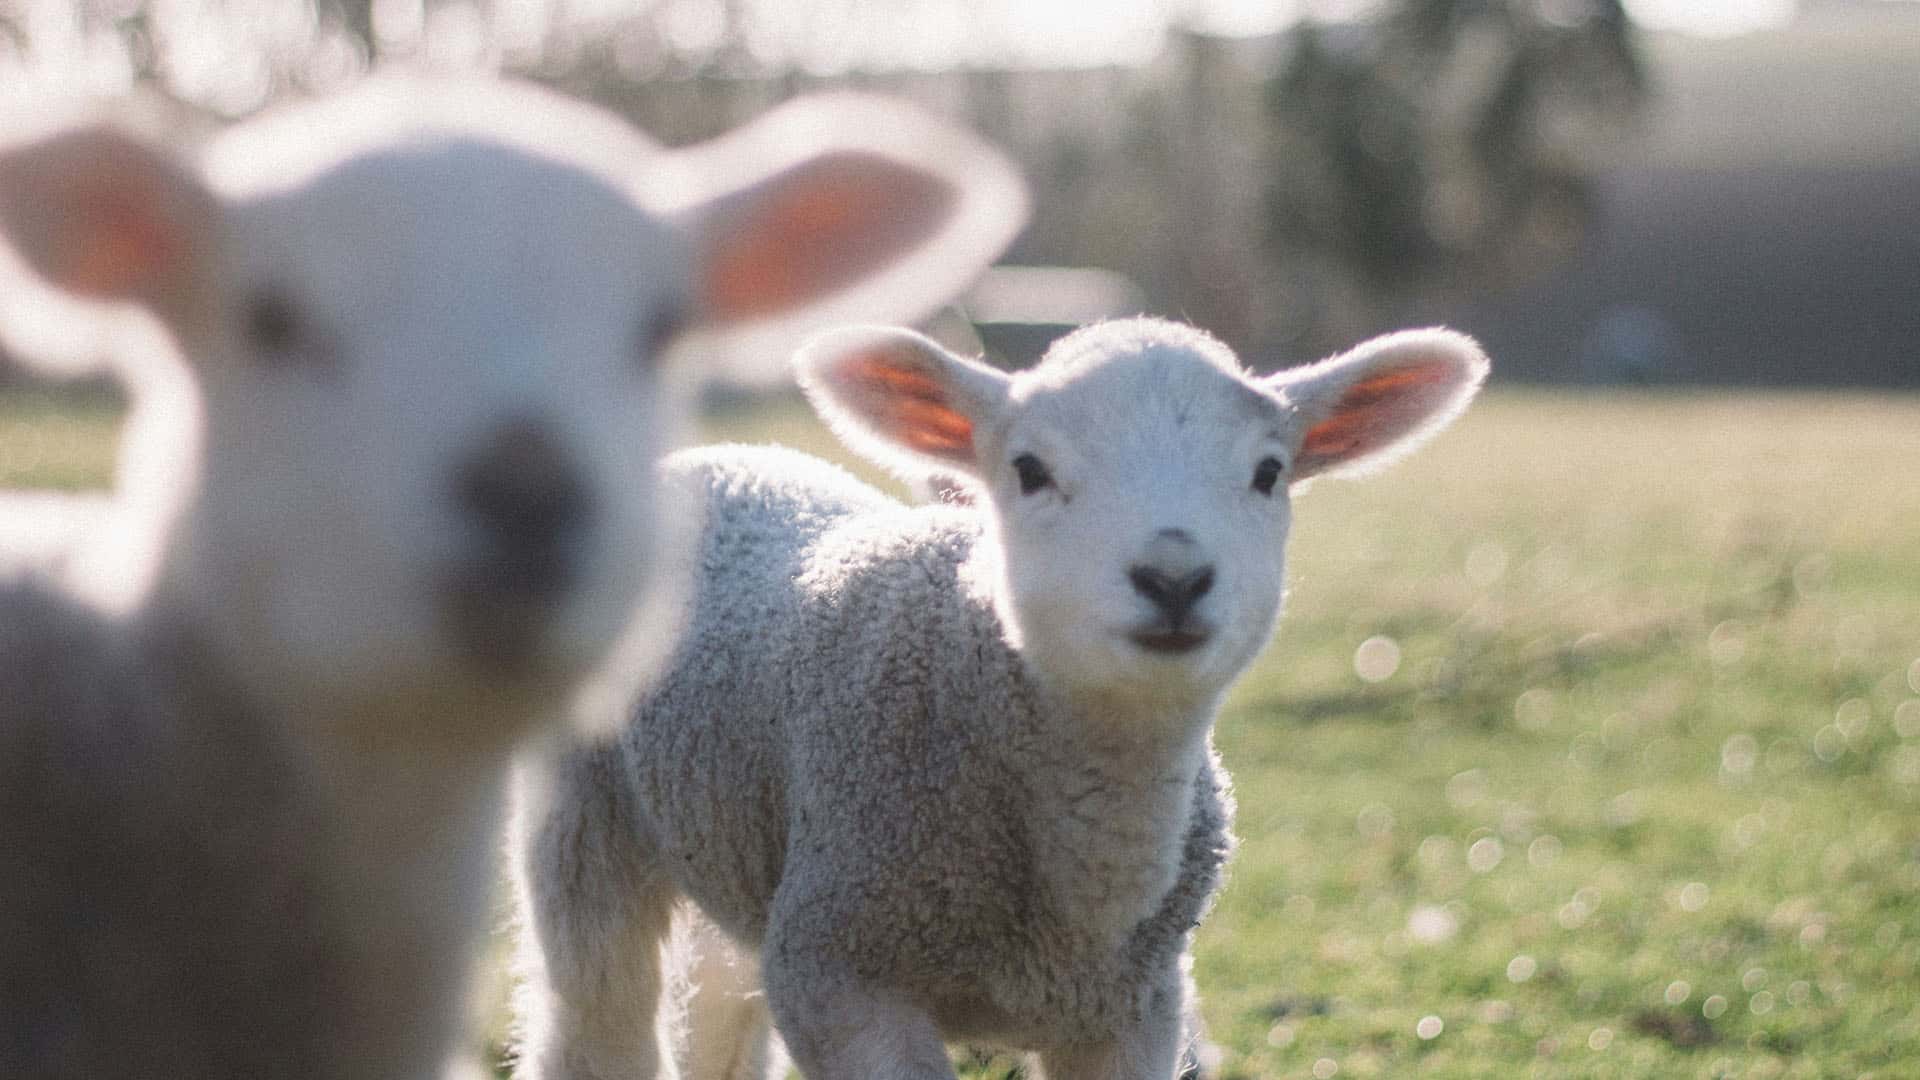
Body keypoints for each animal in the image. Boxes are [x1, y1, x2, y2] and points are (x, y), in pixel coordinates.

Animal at [511, 316, 1489, 1080]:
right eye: (1029, 469)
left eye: (1268, 473)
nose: (1173, 578)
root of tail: (724, 456)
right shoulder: (842, 974)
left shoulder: (1134, 1011)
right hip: (584, 819)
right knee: (595, 1014)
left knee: (717, 1001)